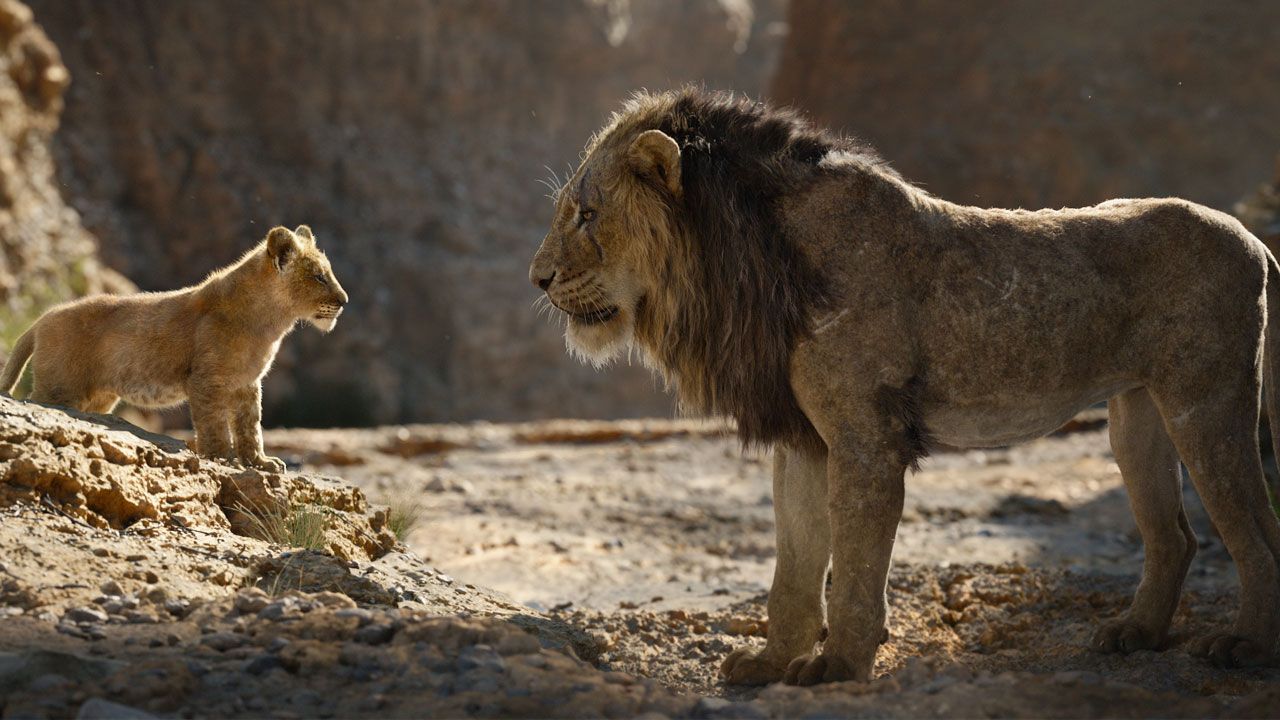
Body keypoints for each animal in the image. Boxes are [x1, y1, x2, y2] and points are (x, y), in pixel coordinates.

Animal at [1, 225, 347, 472]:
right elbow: (214, 423)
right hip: (59, 389)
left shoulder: (248, 383)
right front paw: (222, 457)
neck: (270, 322)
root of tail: (41, 319)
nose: (344, 301)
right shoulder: (206, 380)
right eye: (319, 276)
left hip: (97, 399)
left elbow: (250, 425)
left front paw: (260, 463)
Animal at [529, 89, 1280, 684]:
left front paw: (837, 666)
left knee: (1256, 532)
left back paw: (1244, 645)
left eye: (587, 214)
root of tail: (1252, 237)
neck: (745, 261)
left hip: (1207, 400)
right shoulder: (804, 440)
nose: (536, 278)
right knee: (1175, 536)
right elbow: (794, 566)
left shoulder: (866, 437)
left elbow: (857, 564)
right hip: (1137, 415)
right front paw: (771, 664)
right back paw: (1135, 634)